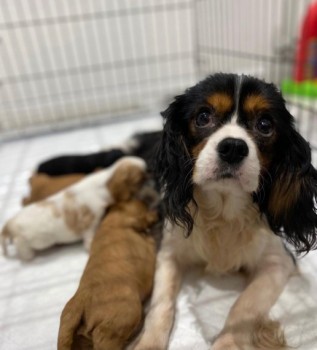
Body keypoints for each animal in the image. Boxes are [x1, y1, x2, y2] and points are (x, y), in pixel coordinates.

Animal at [0, 156, 146, 260]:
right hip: (31, 243)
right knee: (24, 251)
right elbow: (89, 236)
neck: (105, 181)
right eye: (140, 179)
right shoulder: (89, 223)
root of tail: (9, 223)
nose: (149, 171)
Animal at [57, 186, 158, 350]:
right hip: (117, 324)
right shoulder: (133, 220)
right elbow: (146, 219)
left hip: (70, 333)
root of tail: (80, 304)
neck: (112, 217)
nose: (143, 199)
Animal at [133, 72, 316, 348]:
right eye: (203, 117)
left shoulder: (278, 263)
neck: (223, 208)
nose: (233, 147)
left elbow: (244, 306)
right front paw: (148, 342)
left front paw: (226, 342)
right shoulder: (169, 253)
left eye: (265, 124)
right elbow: (161, 305)